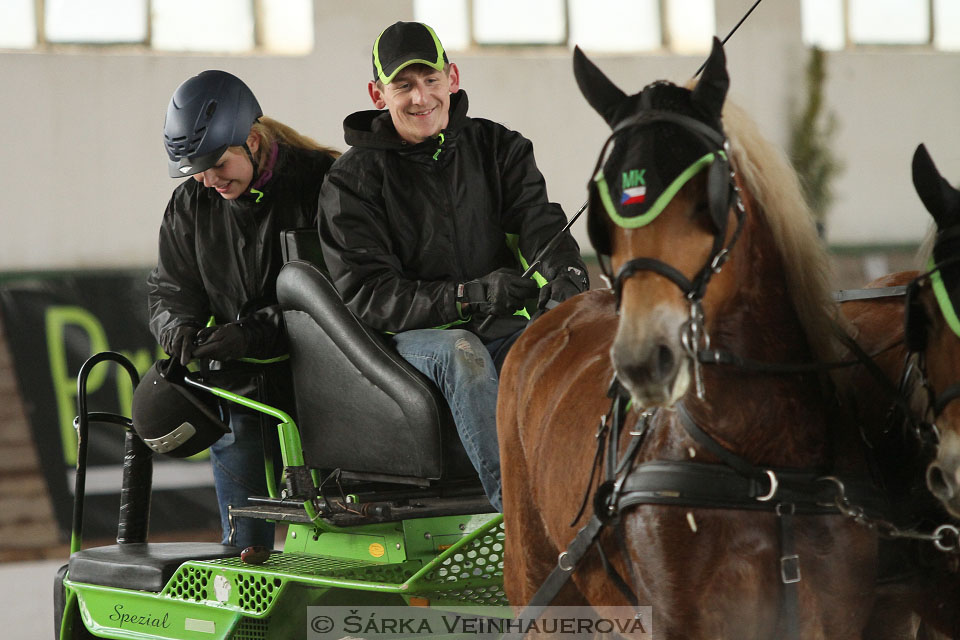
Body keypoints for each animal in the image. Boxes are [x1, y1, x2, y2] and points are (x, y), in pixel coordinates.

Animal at [498, 41, 880, 640]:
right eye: (605, 207)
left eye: (710, 195)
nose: (642, 360)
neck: (762, 471)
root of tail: (547, 320)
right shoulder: (678, 620)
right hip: (538, 583)